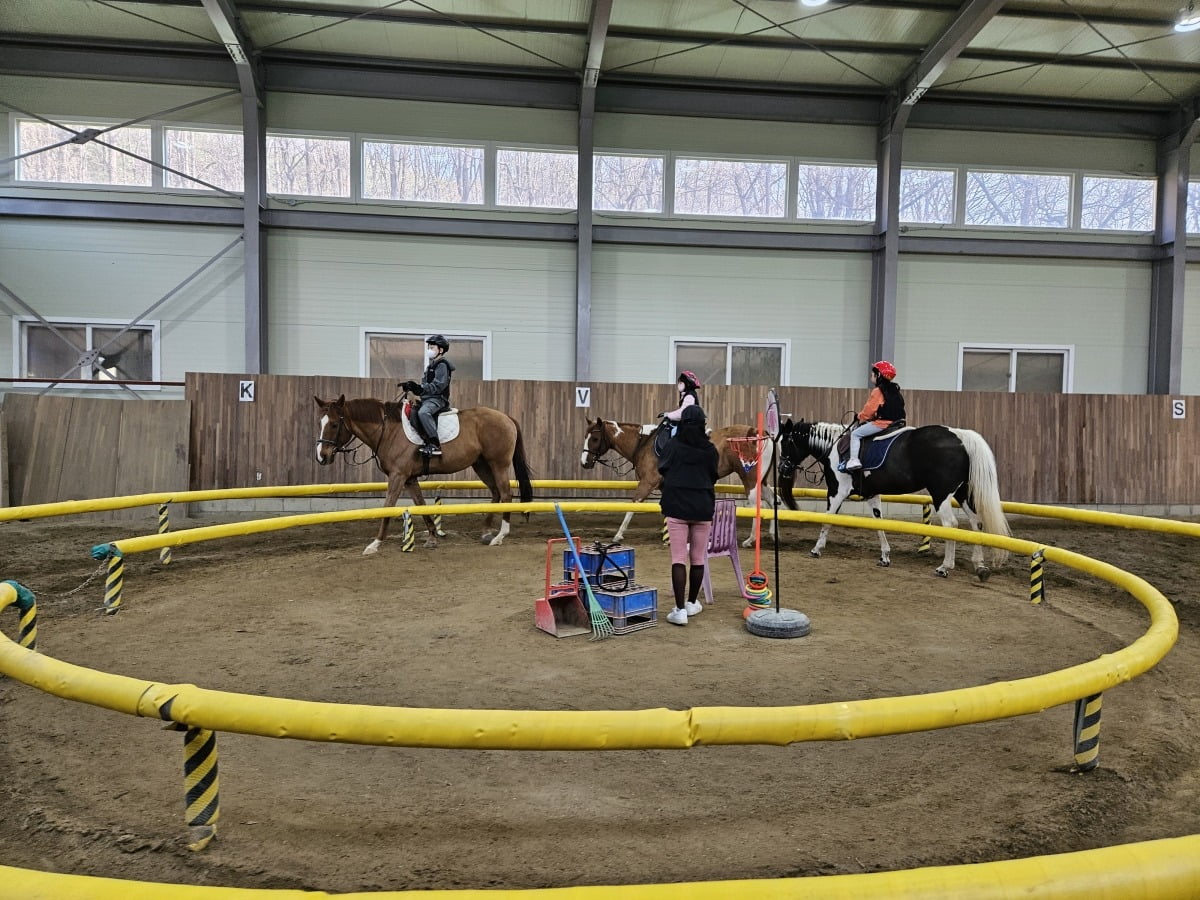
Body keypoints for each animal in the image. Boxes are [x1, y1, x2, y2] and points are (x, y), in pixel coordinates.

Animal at [314, 396, 535, 554]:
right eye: (320, 423)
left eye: (334, 424)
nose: (322, 456)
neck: (388, 430)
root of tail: (506, 417)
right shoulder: (410, 479)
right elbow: (421, 505)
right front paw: (432, 538)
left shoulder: (398, 476)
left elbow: (388, 506)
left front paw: (374, 544)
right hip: (481, 465)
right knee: (496, 493)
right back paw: (487, 532)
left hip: (498, 464)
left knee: (505, 494)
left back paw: (500, 536)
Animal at [580, 415, 777, 549]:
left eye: (595, 439)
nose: (584, 463)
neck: (644, 443)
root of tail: (758, 434)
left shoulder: (648, 482)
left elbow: (632, 506)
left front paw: (618, 535)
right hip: (762, 481)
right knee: (773, 501)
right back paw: (773, 535)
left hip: (749, 479)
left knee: (757, 505)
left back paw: (750, 540)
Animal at [777, 422, 1012, 580]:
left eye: (786, 442)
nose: (782, 468)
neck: (834, 446)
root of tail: (960, 436)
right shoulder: (872, 495)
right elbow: (878, 524)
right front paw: (885, 557)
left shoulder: (837, 492)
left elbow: (827, 520)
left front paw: (816, 549)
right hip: (961, 493)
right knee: (975, 523)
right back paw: (979, 565)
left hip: (941, 494)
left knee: (951, 525)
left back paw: (944, 567)